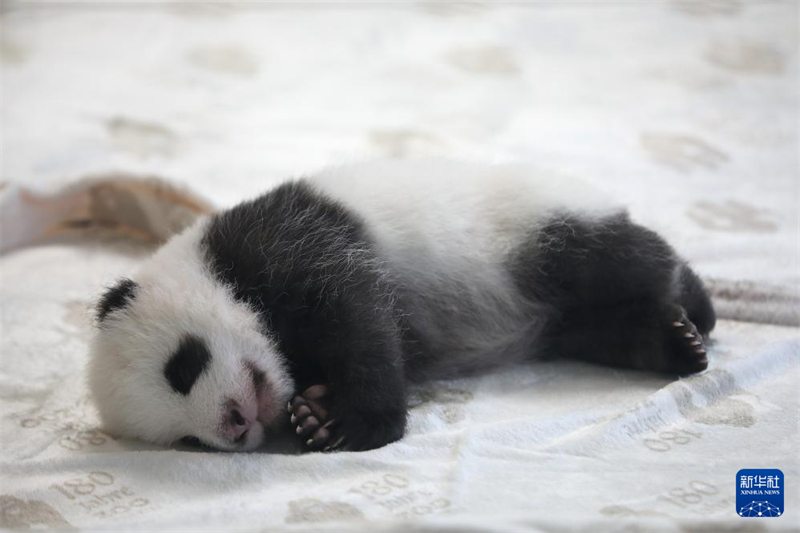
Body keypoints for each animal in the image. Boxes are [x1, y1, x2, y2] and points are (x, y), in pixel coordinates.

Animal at [88, 160, 715, 453]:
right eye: (187, 441)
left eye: (182, 366)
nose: (235, 425)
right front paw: (314, 416)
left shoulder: (289, 244)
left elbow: (358, 316)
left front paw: (350, 424)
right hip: (567, 317)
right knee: (604, 327)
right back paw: (672, 343)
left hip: (539, 229)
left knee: (625, 260)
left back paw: (694, 312)